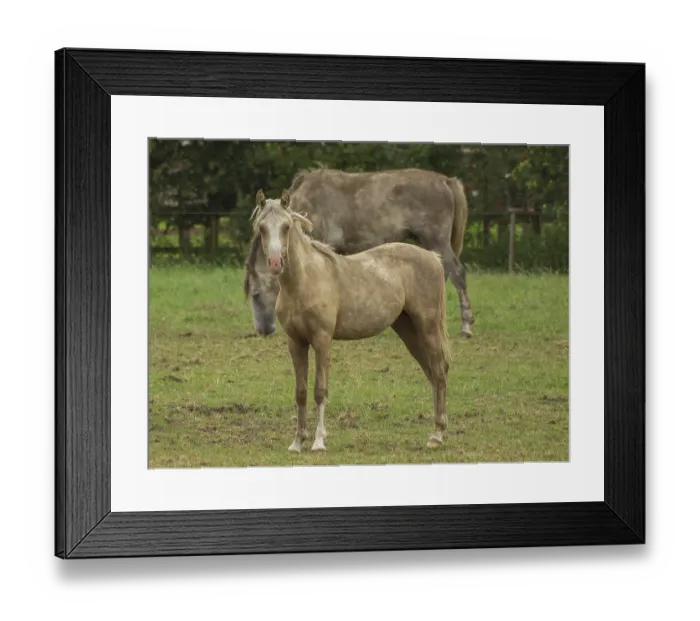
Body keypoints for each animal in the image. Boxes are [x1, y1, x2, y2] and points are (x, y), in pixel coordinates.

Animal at [243, 167, 476, 338]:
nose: (263, 331)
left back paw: (466, 327)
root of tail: (446, 181)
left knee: (458, 274)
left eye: (255, 295)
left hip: (437, 239)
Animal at [251, 189, 452, 452]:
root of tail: (433, 257)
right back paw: (435, 431)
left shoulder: (322, 340)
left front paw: (318, 442)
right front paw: (297, 442)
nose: (275, 263)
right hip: (408, 329)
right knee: (430, 372)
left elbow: (320, 390)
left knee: (438, 371)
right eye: (262, 227)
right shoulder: (296, 342)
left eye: (286, 226)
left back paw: (437, 435)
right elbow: (301, 392)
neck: (305, 280)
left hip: (427, 326)